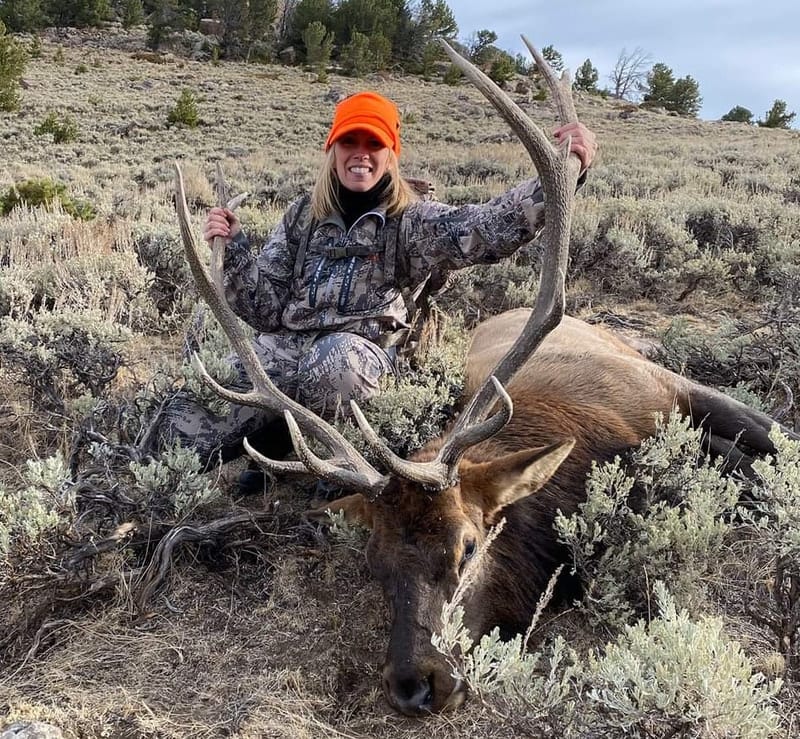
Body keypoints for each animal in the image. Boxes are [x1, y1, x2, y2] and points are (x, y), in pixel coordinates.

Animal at [173, 38, 799, 716]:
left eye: (469, 544)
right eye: (374, 561)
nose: (415, 683)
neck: (584, 458)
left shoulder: (671, 392)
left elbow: (768, 442)